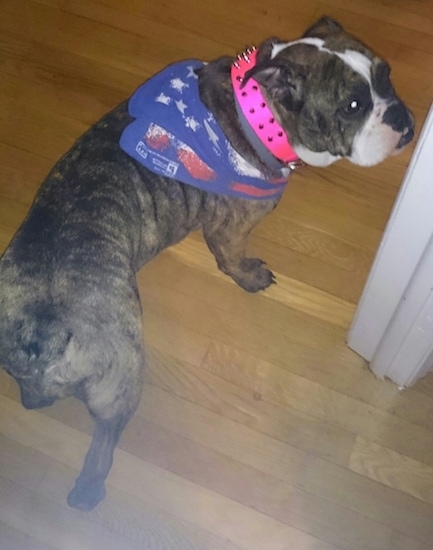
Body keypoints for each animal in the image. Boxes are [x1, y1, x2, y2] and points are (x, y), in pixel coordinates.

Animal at [0, 17, 412, 512]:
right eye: (352, 106)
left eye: (387, 75)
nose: (402, 118)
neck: (259, 111)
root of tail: (42, 332)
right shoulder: (231, 231)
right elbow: (232, 261)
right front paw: (250, 276)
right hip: (122, 376)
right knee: (104, 440)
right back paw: (89, 489)